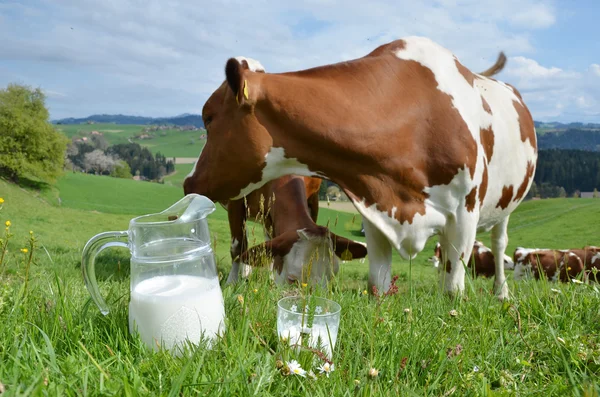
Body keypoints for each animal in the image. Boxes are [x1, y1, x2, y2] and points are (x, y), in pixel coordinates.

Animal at [223, 174, 368, 284]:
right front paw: (231, 283)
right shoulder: (236, 198)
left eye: (331, 276)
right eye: (292, 279)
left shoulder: (312, 200)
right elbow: (238, 246)